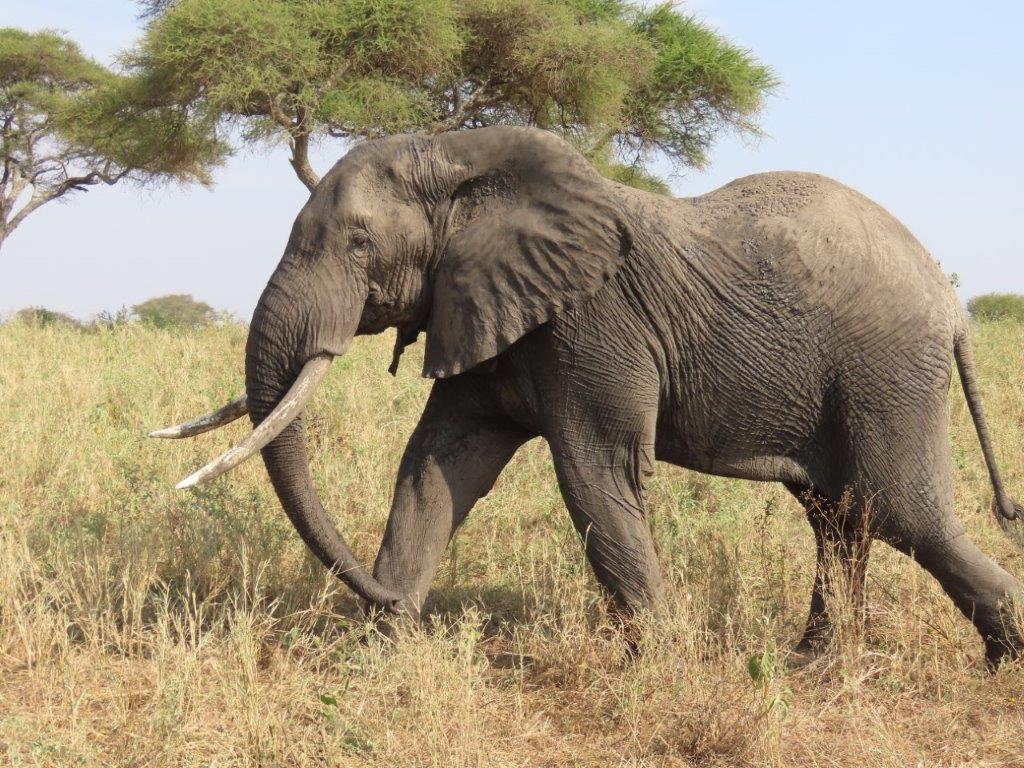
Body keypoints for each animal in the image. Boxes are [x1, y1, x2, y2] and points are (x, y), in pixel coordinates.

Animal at [153, 125, 1023, 666]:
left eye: (360, 243)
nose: (388, 605)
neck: (460, 157)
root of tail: (950, 304)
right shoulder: (485, 304)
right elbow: (435, 468)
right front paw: (376, 651)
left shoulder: (593, 320)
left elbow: (594, 473)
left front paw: (664, 666)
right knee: (840, 516)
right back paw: (812, 665)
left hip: (885, 371)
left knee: (898, 511)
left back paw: (1000, 657)